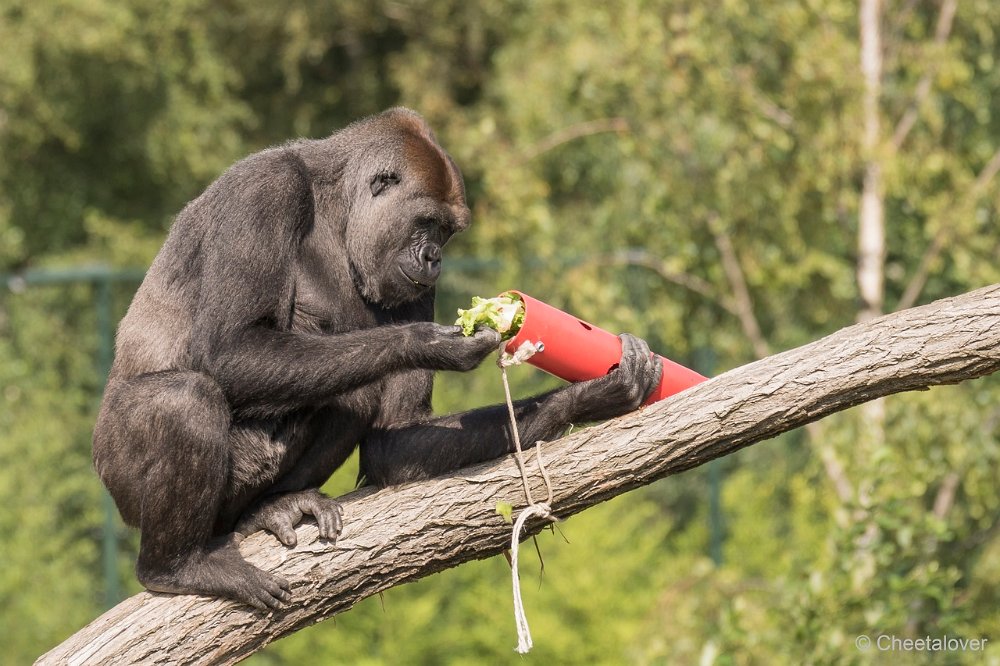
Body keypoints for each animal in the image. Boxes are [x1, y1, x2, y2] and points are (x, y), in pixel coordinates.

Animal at [90, 107, 660, 608]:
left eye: (447, 232)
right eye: (426, 223)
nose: (434, 258)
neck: (335, 206)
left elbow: (397, 436)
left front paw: (586, 397)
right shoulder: (265, 189)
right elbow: (231, 347)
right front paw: (425, 342)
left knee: (351, 400)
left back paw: (263, 510)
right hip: (116, 481)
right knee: (186, 400)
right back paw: (177, 566)